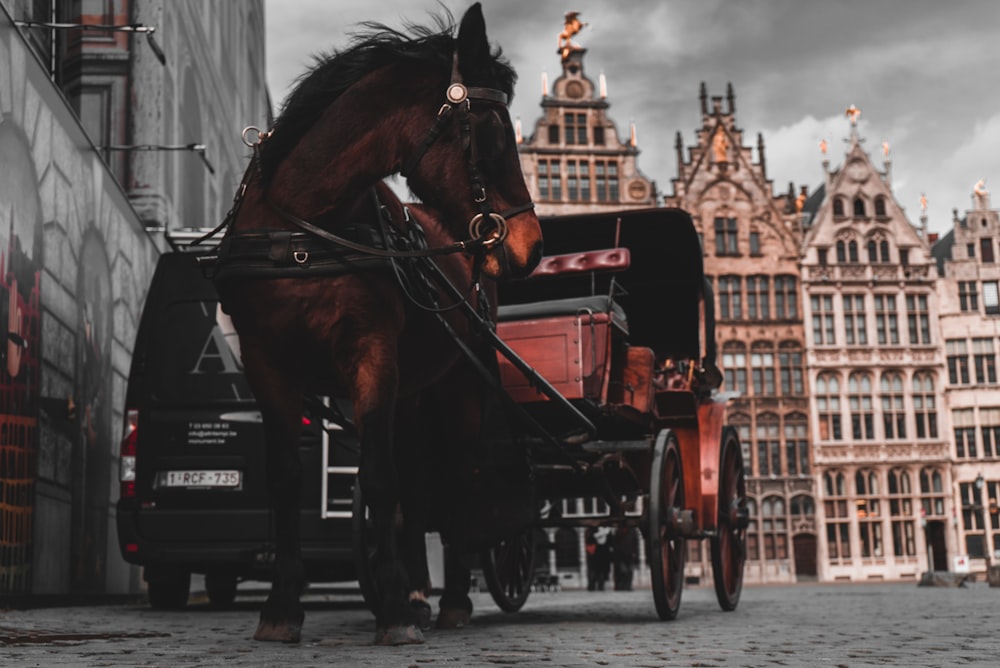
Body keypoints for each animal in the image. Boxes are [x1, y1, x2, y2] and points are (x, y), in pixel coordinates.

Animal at [213, 2, 540, 644]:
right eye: (492, 131)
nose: (532, 245)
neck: (303, 231)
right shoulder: (268, 361)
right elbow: (287, 476)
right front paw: (284, 605)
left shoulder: (371, 354)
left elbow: (379, 478)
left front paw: (392, 612)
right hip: (413, 396)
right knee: (417, 483)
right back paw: (417, 591)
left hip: (458, 386)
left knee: (457, 478)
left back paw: (451, 599)